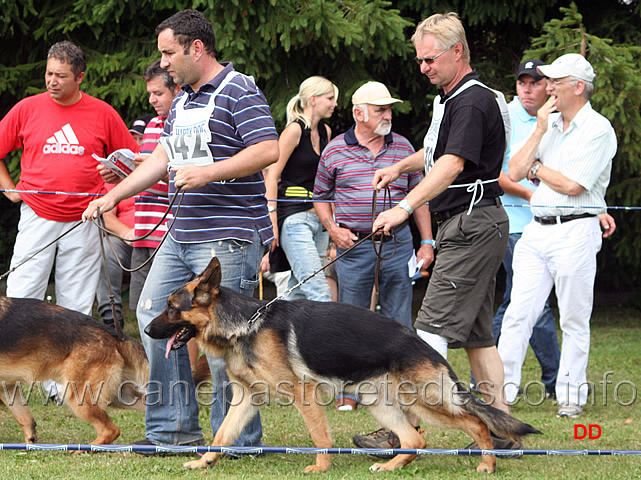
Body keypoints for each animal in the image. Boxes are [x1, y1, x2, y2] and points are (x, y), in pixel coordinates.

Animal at [0, 298, 146, 444]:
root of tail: (115, 335)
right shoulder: (8, 389)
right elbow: (27, 422)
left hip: (78, 397)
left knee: (111, 430)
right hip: (119, 396)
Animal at [145, 258, 540, 472]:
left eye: (171, 308)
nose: (147, 330)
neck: (245, 325)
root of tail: (422, 344)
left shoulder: (303, 394)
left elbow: (320, 436)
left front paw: (321, 467)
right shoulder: (246, 399)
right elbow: (223, 434)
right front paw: (204, 462)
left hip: (426, 402)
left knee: (476, 423)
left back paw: (487, 463)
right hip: (381, 404)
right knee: (414, 439)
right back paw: (389, 465)